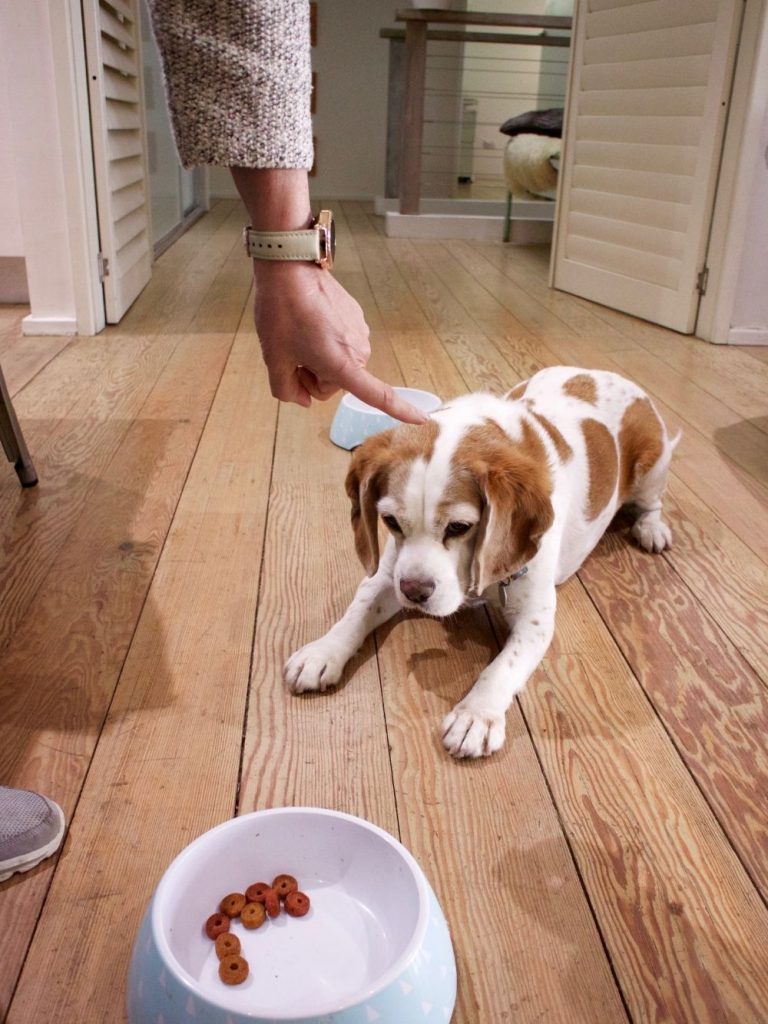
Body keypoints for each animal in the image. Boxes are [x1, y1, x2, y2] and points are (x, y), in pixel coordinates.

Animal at [284, 368, 679, 761]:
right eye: (391, 522)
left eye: (459, 527)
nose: (414, 593)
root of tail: (609, 375)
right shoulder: (388, 576)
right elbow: (358, 610)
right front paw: (323, 651)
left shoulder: (535, 620)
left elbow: (503, 666)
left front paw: (475, 715)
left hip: (654, 466)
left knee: (653, 503)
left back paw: (651, 528)